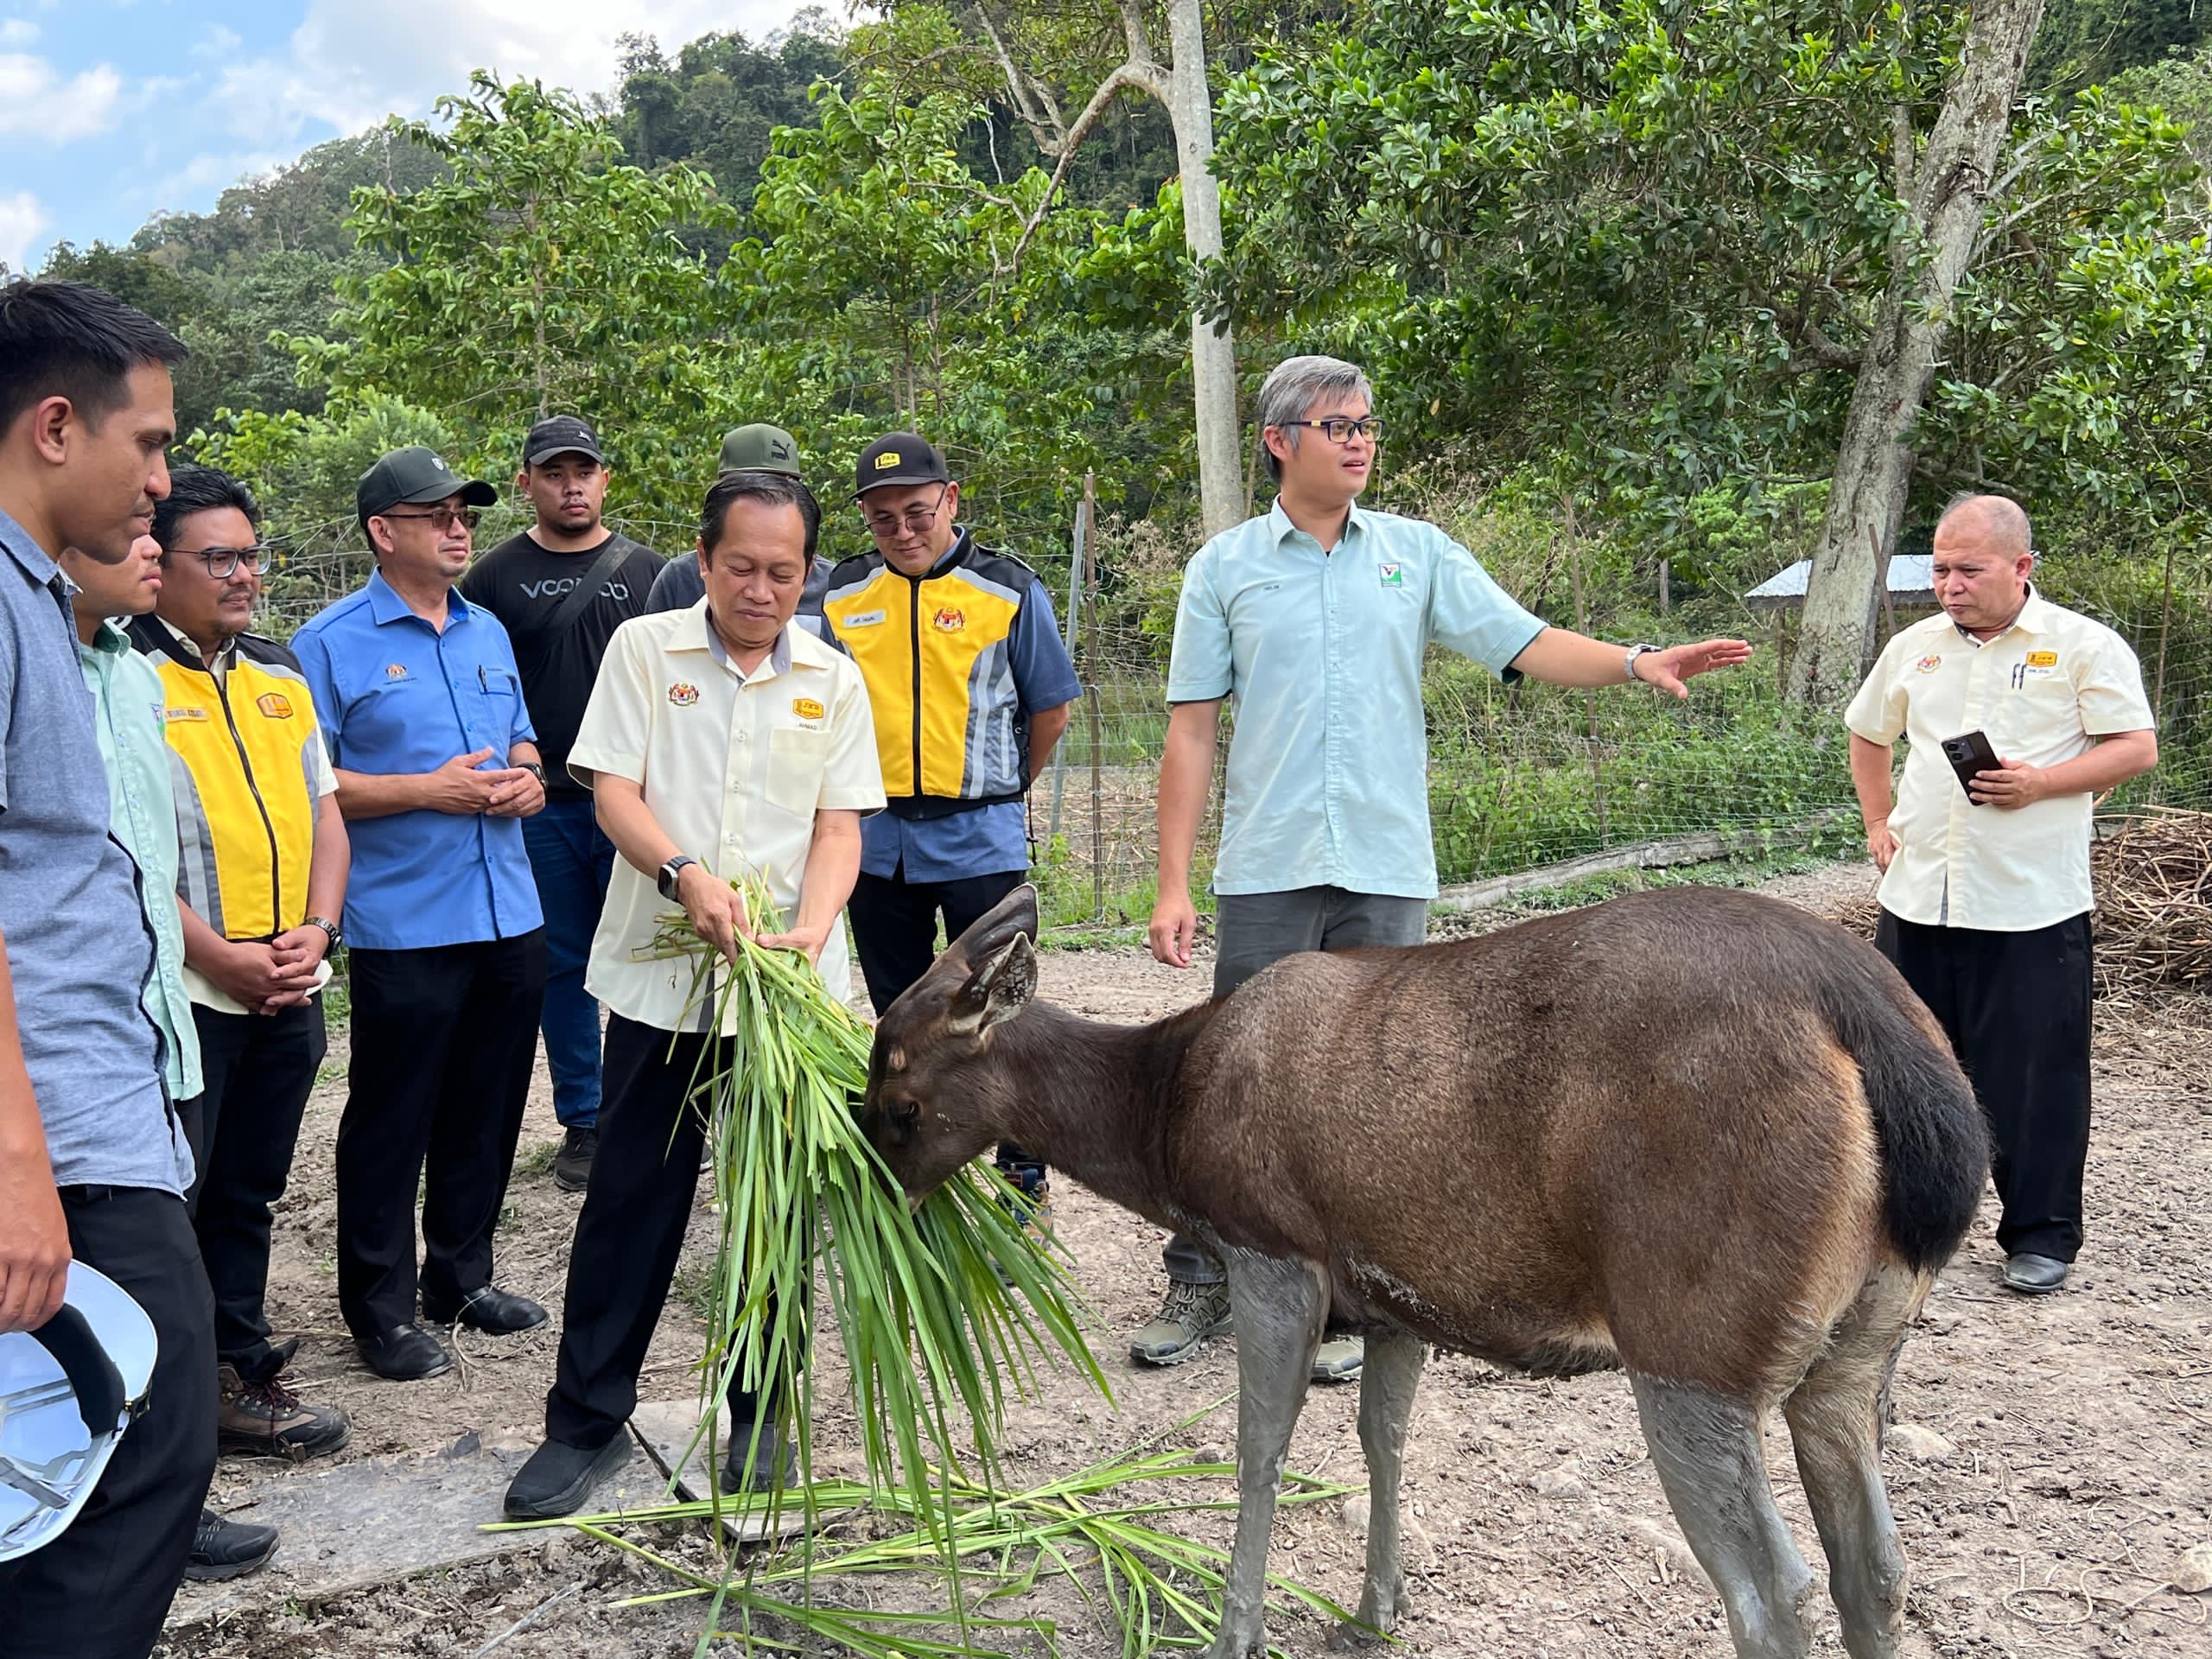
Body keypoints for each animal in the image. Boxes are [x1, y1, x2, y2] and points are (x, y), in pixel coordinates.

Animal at [862, 889, 1991, 1654]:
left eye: (894, 1073)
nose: (868, 1176)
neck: (1167, 1125)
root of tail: (1905, 1065)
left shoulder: (1273, 1246)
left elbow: (1261, 1452)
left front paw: (1236, 1630)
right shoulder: (1399, 1294)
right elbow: (1384, 1446)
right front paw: (1375, 1611)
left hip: (1694, 1332)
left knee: (1772, 1588)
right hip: (1857, 1343)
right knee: (1876, 1565)